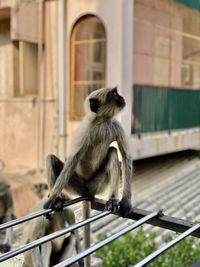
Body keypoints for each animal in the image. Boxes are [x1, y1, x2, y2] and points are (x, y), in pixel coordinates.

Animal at [43, 88, 133, 218]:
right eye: (115, 94)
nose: (122, 97)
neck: (102, 121)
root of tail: (86, 191)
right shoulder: (87, 130)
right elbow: (73, 159)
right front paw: (52, 198)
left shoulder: (116, 125)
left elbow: (126, 157)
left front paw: (126, 201)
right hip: (78, 186)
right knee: (51, 159)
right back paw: (58, 198)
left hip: (96, 185)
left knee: (113, 152)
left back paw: (113, 199)